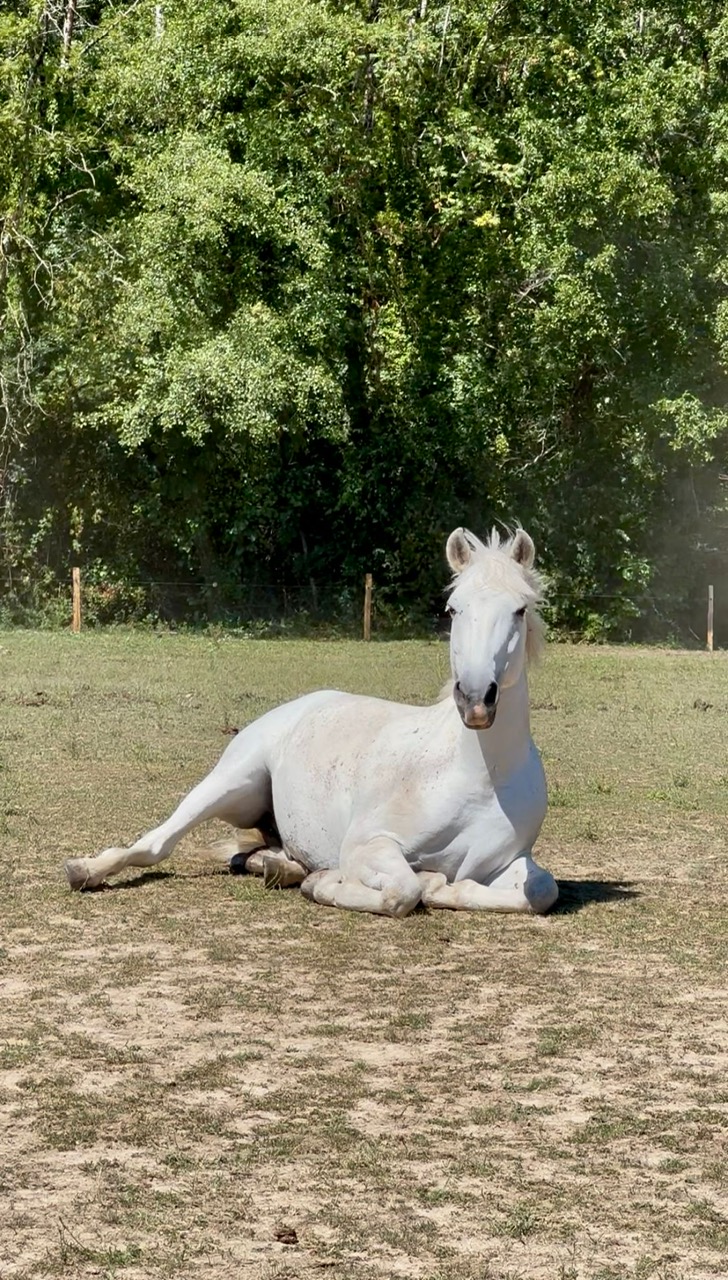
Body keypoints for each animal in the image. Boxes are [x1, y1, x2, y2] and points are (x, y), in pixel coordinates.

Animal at [65, 527, 558, 916]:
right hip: (231, 783)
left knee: (259, 851)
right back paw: (85, 869)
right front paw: (326, 885)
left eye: (519, 610)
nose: (476, 700)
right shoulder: (367, 845)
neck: (478, 778)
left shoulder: (506, 862)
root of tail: (302, 704)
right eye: (453, 609)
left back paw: (277, 867)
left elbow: (540, 889)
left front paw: (443, 887)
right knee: (157, 842)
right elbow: (402, 891)